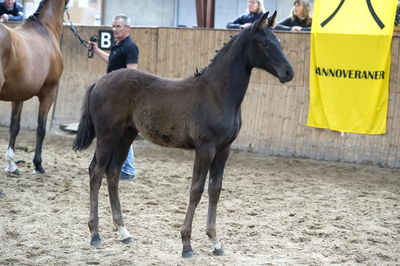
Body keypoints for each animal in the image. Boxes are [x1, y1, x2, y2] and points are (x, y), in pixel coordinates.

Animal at [0, 0, 68, 175]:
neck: (45, 29)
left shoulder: (18, 96)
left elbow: (14, 127)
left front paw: (11, 165)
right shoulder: (49, 93)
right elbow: (41, 129)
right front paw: (38, 165)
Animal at [72, 11, 294, 258]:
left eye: (279, 41)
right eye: (264, 43)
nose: (289, 73)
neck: (218, 93)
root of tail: (99, 82)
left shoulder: (224, 149)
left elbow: (215, 189)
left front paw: (216, 243)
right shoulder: (205, 148)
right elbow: (196, 190)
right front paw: (187, 244)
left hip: (126, 135)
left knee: (112, 173)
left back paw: (123, 232)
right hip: (107, 136)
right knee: (96, 172)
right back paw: (95, 234)